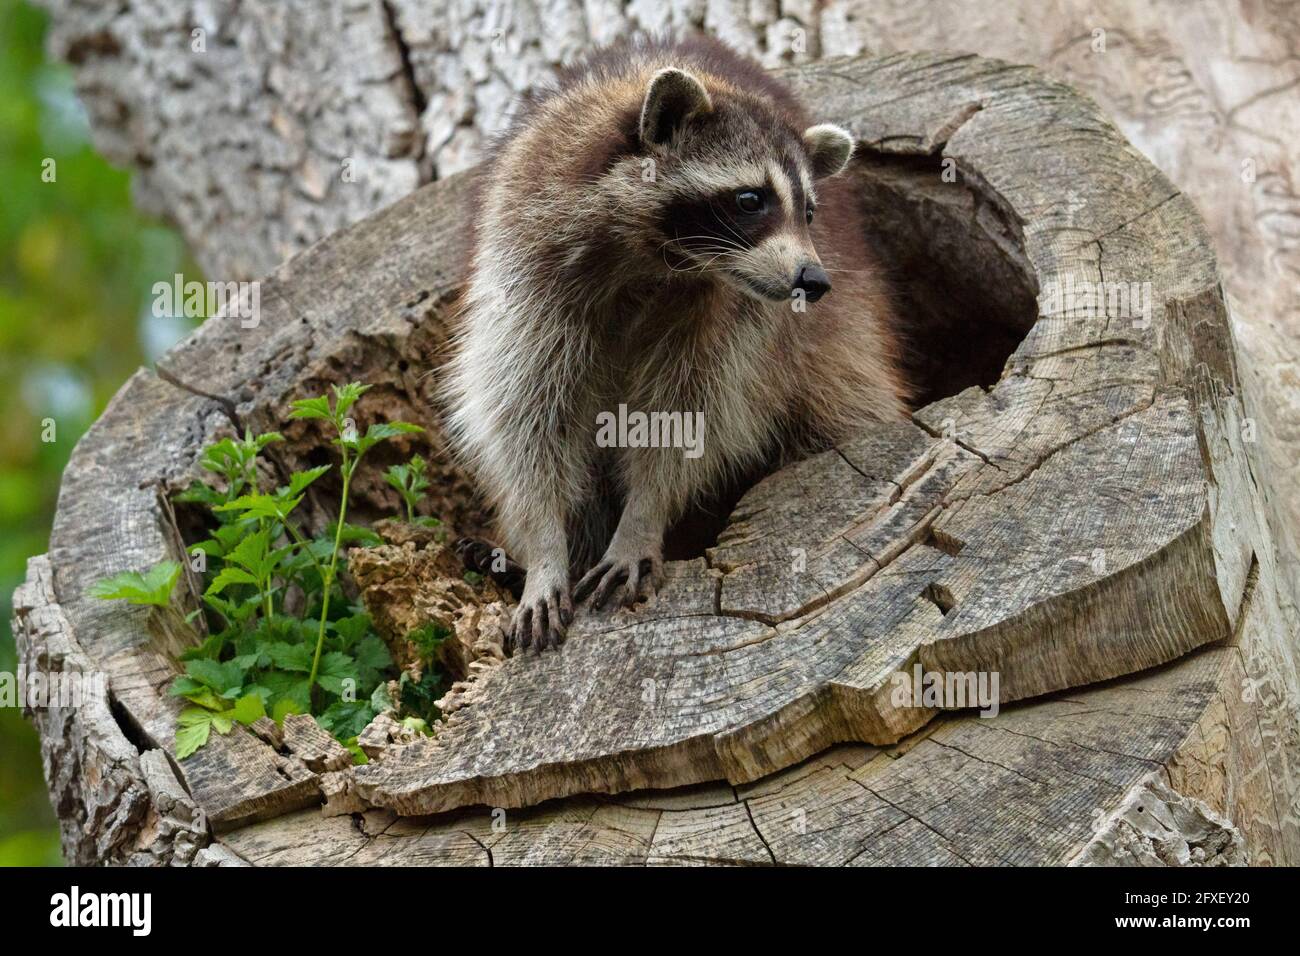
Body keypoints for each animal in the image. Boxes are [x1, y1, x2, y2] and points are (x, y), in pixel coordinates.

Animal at [443, 35, 910, 653]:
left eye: (809, 211)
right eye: (750, 199)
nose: (813, 280)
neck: (657, 258)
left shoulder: (731, 321)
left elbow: (688, 417)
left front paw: (641, 520)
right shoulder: (528, 268)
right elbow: (527, 418)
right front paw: (545, 550)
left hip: (842, 353)